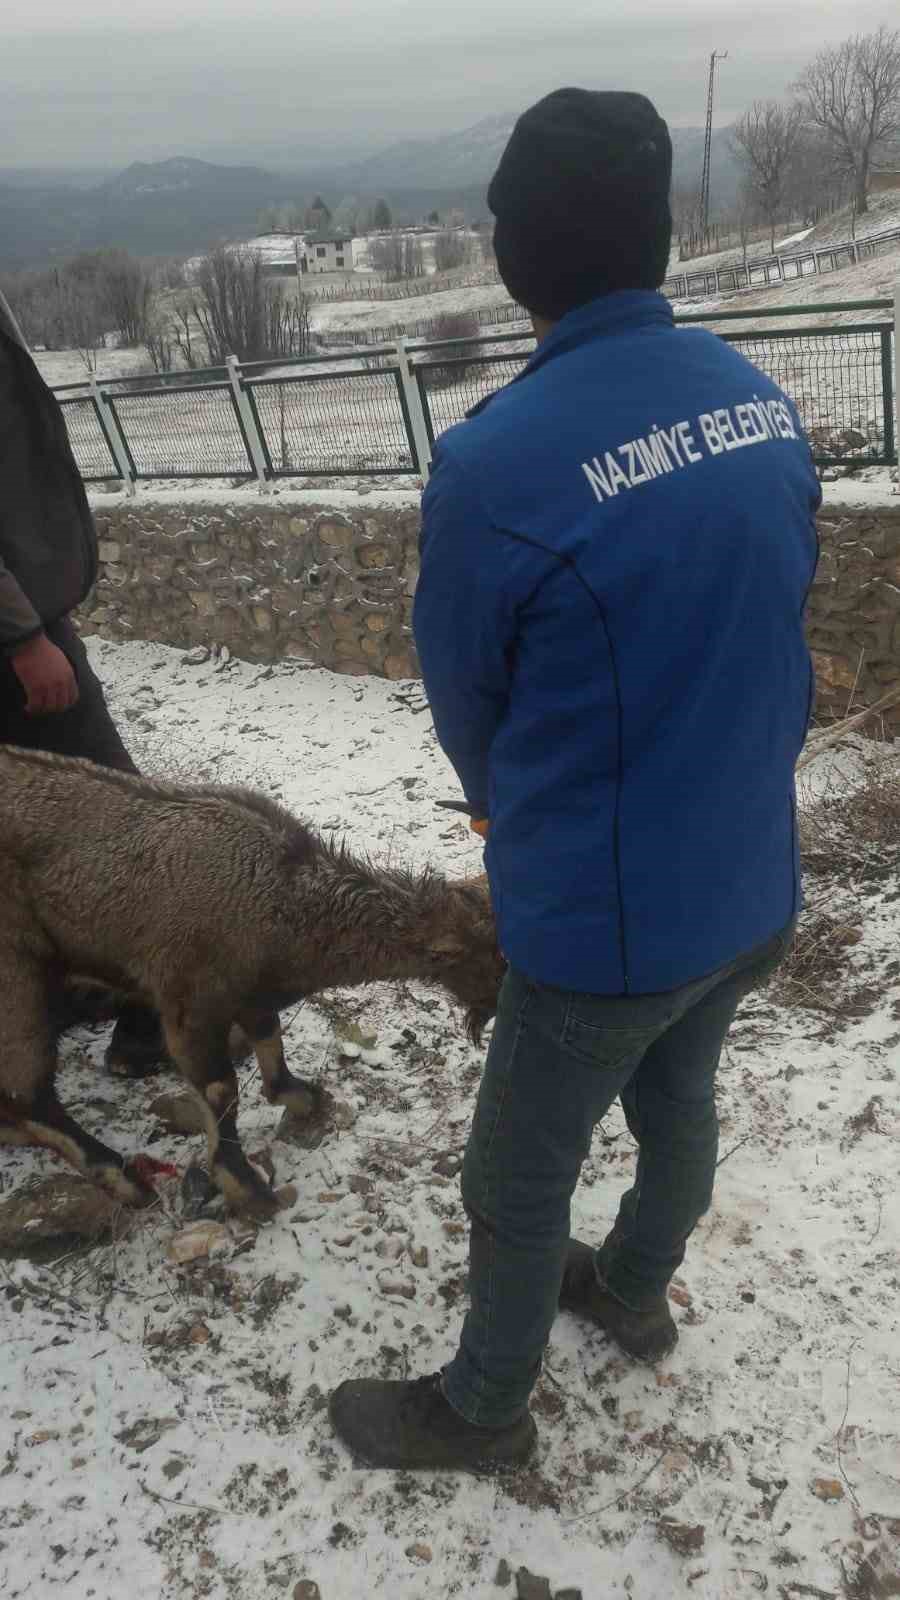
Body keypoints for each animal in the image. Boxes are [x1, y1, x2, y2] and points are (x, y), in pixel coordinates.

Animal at [0, 742, 506, 1216]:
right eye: (499, 958)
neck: (281, 900)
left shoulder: (251, 994)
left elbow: (269, 1036)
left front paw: (298, 1096)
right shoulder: (188, 1003)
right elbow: (220, 1090)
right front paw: (243, 1185)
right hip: (19, 975)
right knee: (29, 1093)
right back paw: (122, 1176)